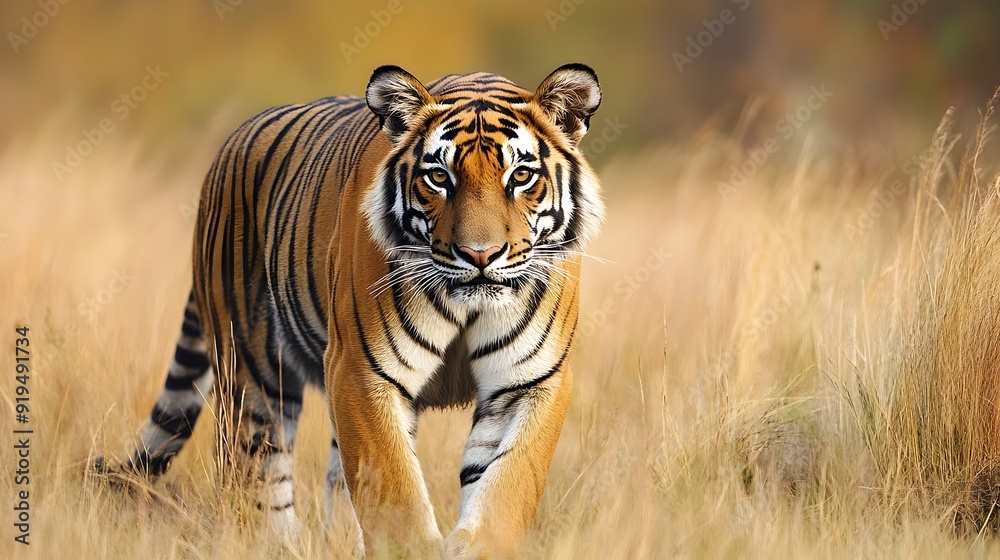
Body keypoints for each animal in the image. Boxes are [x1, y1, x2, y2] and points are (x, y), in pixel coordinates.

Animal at [98, 63, 604, 558]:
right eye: (439, 178)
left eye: (520, 177)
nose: (480, 255)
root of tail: (230, 144)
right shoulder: (361, 370)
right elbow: (395, 496)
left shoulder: (531, 380)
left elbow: (508, 486)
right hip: (250, 371)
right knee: (257, 483)